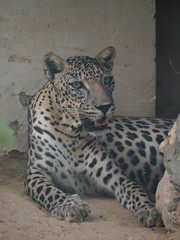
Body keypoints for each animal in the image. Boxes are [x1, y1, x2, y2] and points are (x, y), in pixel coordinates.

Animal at [26, 46, 174, 227]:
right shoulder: (36, 172)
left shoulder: (116, 176)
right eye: (77, 85)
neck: (70, 134)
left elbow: (134, 190)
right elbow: (49, 191)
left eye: (107, 80)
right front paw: (70, 206)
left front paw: (148, 210)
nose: (105, 106)